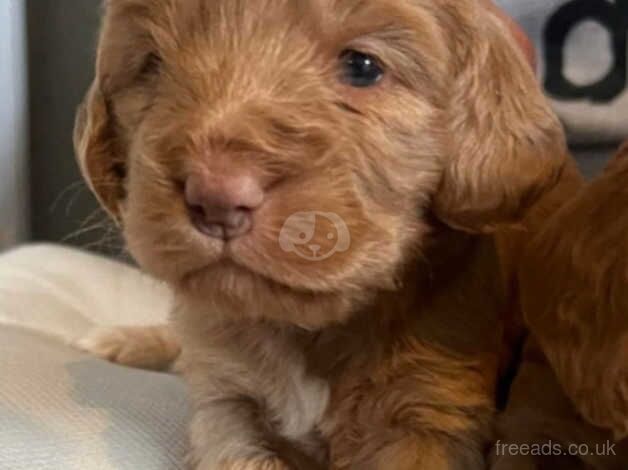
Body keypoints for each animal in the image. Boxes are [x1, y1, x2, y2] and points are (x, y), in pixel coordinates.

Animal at [75, 1, 580, 468]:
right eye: (153, 64)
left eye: (362, 66)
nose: (216, 196)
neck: (309, 327)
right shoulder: (228, 405)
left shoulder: (430, 411)